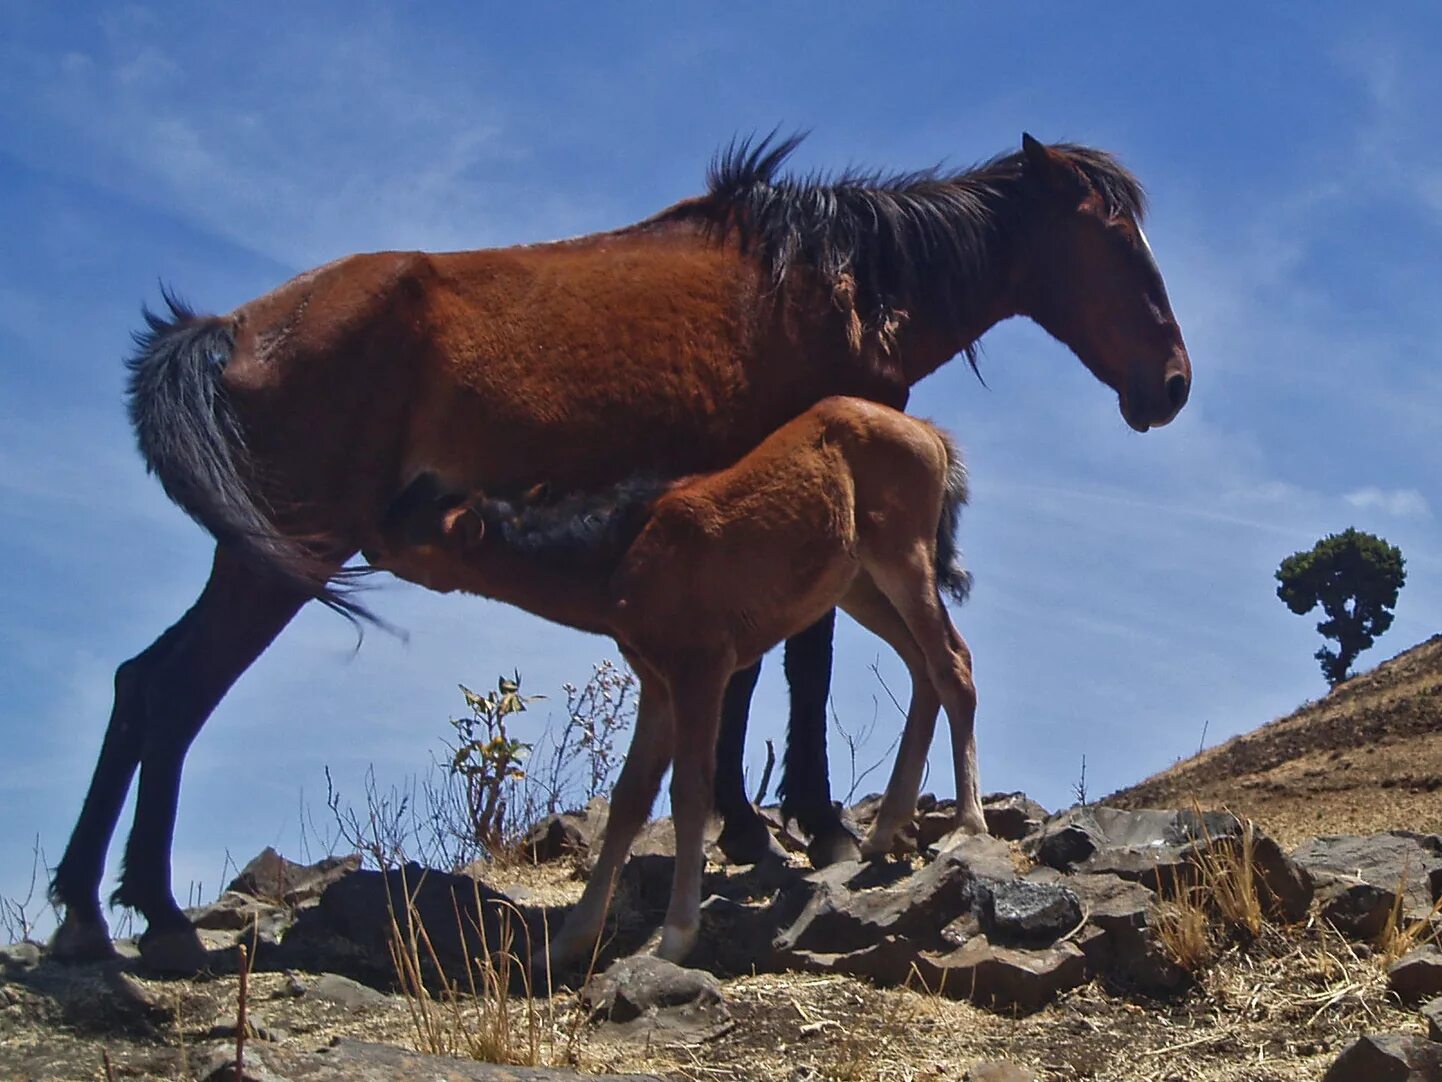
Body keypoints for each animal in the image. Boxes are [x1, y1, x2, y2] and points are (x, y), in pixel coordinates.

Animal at [372, 395, 980, 963]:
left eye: (416, 534)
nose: (367, 540)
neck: (621, 552)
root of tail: (930, 433)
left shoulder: (700, 668)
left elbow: (690, 790)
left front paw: (677, 937)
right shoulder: (658, 681)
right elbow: (629, 798)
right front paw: (570, 941)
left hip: (901, 556)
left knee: (953, 663)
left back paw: (966, 825)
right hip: (858, 584)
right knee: (922, 666)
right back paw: (886, 828)